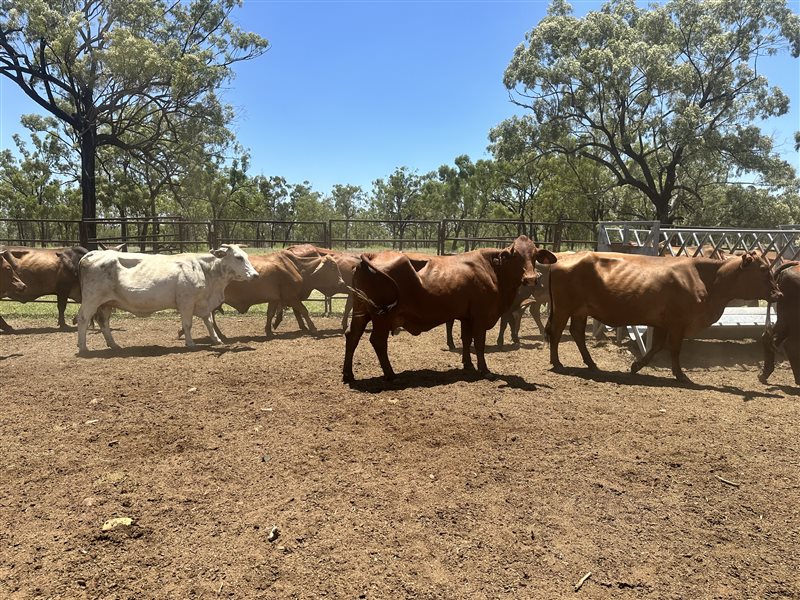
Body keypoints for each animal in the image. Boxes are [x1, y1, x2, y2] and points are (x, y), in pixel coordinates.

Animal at [75, 243, 256, 352]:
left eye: (246, 256)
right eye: (238, 257)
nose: (255, 275)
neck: (205, 270)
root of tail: (91, 254)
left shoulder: (203, 303)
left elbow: (209, 322)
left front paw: (216, 339)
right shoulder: (186, 302)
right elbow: (188, 324)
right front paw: (190, 343)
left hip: (106, 303)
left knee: (103, 322)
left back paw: (113, 345)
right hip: (92, 299)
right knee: (83, 319)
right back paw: (83, 348)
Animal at [342, 237, 556, 382]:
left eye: (535, 255)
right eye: (515, 255)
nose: (531, 278)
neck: (492, 270)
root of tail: (373, 255)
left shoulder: (467, 317)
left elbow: (466, 340)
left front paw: (468, 365)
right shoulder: (480, 316)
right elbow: (478, 344)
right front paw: (485, 370)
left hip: (362, 312)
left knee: (352, 336)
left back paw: (348, 374)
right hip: (382, 318)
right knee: (377, 341)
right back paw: (390, 374)